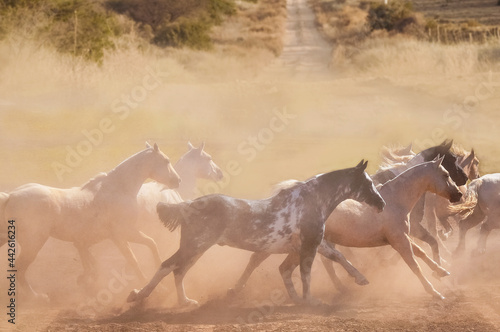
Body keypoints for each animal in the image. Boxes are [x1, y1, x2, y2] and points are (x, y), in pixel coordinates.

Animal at [0, 142, 180, 298]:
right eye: (166, 161)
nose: (177, 181)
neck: (118, 189)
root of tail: (11, 196)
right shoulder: (122, 234)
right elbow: (137, 256)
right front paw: (155, 287)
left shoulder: (97, 238)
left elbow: (92, 260)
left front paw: (85, 280)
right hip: (33, 244)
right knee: (19, 268)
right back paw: (37, 297)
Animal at [127, 161, 384, 306]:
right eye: (367, 183)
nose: (381, 204)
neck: (312, 201)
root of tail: (187, 205)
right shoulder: (309, 246)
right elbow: (306, 273)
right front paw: (310, 299)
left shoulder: (314, 244)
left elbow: (338, 257)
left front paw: (360, 278)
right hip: (195, 246)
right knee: (168, 266)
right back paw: (141, 296)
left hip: (196, 248)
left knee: (178, 271)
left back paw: (182, 301)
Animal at [229, 157, 460, 300]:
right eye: (446, 174)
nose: (458, 194)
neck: (395, 200)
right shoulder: (399, 240)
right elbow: (415, 265)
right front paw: (435, 292)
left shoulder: (401, 237)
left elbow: (421, 252)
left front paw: (441, 271)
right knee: (257, 259)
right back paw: (236, 289)